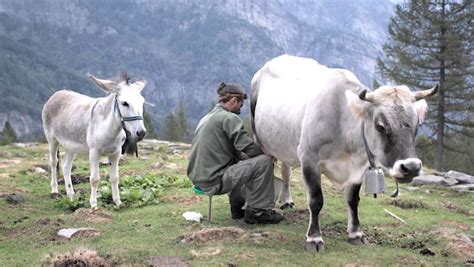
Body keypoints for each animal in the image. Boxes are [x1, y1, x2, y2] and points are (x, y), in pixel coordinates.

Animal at [252, 55, 436, 253]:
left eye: (418, 125)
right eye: (380, 126)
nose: (411, 168)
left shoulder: (359, 168)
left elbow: (353, 200)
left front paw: (356, 233)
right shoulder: (309, 160)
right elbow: (316, 200)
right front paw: (314, 238)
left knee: (285, 169)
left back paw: (286, 201)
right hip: (259, 140)